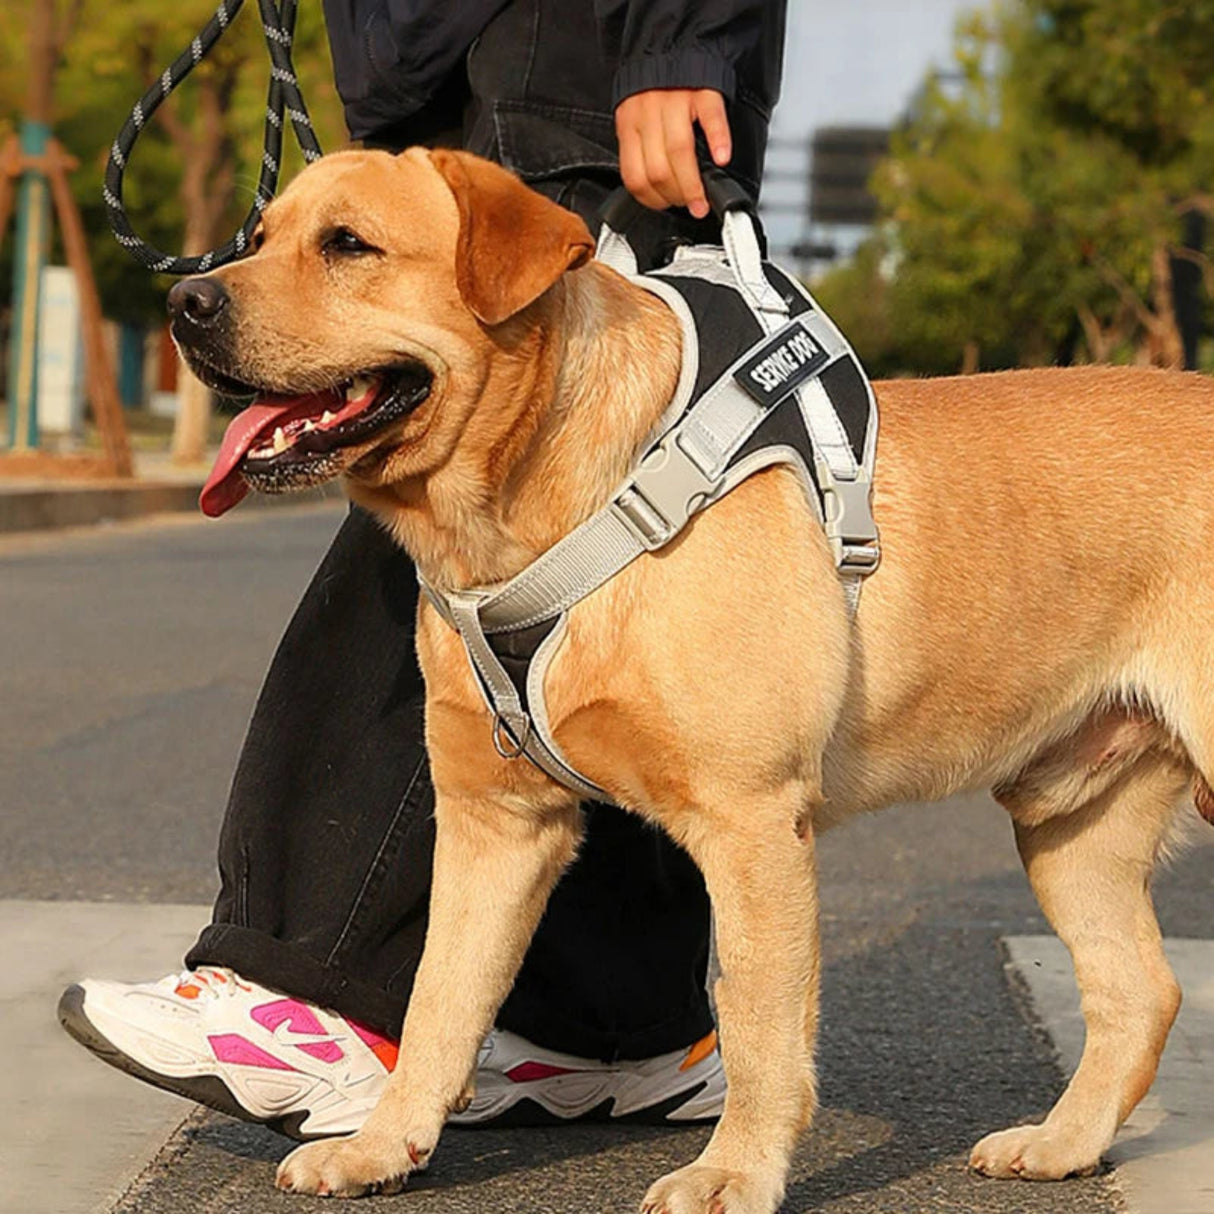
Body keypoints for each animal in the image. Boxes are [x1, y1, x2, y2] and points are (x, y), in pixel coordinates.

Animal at [168, 146, 1214, 1209]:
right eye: (256, 237)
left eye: (349, 245)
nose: (184, 302)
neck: (535, 510)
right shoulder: (493, 821)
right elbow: (438, 1002)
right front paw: (382, 1146)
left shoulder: (751, 820)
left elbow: (756, 1022)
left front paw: (735, 1171)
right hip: (1071, 825)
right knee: (1142, 992)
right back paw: (1062, 1141)